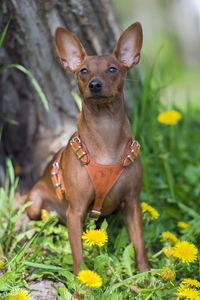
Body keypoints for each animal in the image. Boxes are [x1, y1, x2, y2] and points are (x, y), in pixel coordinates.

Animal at [25, 22, 149, 276]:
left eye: (112, 69)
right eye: (83, 71)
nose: (95, 84)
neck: (105, 135)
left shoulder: (132, 204)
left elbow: (140, 245)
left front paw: (146, 275)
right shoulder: (75, 212)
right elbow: (79, 255)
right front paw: (80, 283)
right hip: (35, 202)